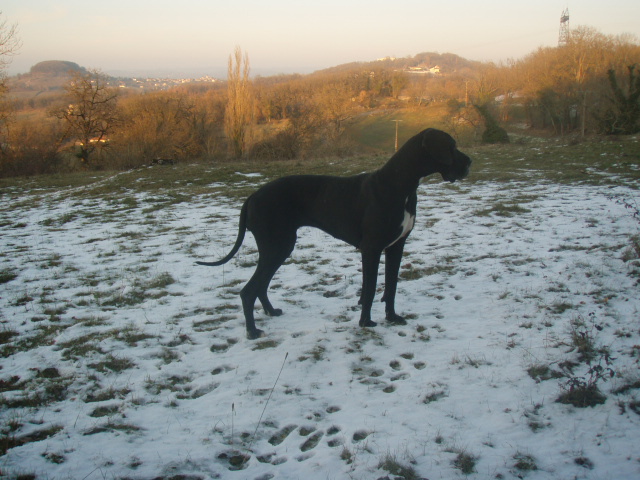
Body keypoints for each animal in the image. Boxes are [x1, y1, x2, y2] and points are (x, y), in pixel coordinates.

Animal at [198, 127, 472, 338]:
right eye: (451, 146)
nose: (469, 163)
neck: (400, 186)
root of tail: (252, 197)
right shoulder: (371, 249)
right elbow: (370, 289)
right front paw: (366, 322)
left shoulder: (396, 246)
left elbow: (392, 286)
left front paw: (392, 317)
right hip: (277, 246)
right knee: (249, 290)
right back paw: (253, 332)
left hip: (278, 248)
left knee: (261, 286)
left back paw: (271, 312)